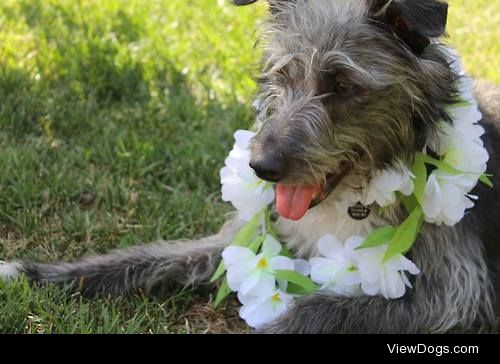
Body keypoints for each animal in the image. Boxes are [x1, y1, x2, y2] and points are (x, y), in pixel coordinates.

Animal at [0, 0, 500, 334]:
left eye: (342, 84)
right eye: (282, 75)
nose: (261, 166)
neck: (350, 199)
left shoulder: (445, 292)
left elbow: (315, 310)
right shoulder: (247, 236)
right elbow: (147, 257)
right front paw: (34, 274)